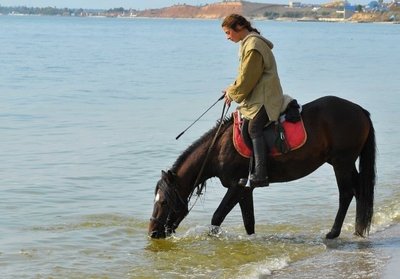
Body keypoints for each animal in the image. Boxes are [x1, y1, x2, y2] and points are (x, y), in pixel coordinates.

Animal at [148, 97, 376, 241]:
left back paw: (333, 233)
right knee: (359, 190)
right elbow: (249, 222)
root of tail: (360, 110)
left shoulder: (237, 187)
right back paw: (358, 229)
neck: (219, 148)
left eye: (164, 202)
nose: (153, 232)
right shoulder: (245, 190)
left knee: (346, 193)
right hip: (345, 163)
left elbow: (217, 217)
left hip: (341, 163)